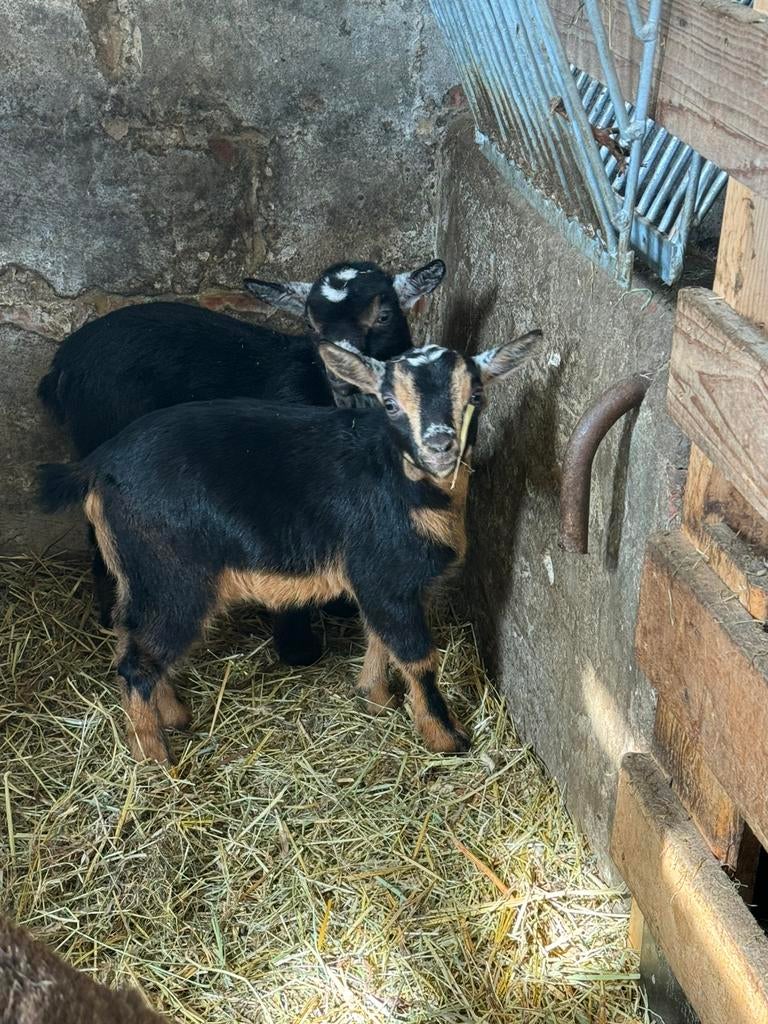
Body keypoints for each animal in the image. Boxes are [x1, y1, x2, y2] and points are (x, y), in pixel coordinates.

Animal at [37, 258, 446, 666]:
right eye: (311, 327)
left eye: (385, 316)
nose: (343, 377)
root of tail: (62, 363)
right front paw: (298, 646)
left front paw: (340, 605)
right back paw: (110, 614)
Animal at [38, 330, 541, 763]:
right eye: (390, 403)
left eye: (476, 396)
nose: (440, 445)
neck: (403, 483)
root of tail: (94, 466)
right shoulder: (385, 578)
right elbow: (418, 657)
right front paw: (447, 738)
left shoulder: (385, 587)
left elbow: (380, 638)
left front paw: (375, 698)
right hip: (173, 576)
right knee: (138, 661)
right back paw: (156, 757)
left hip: (139, 575)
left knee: (130, 637)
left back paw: (176, 718)